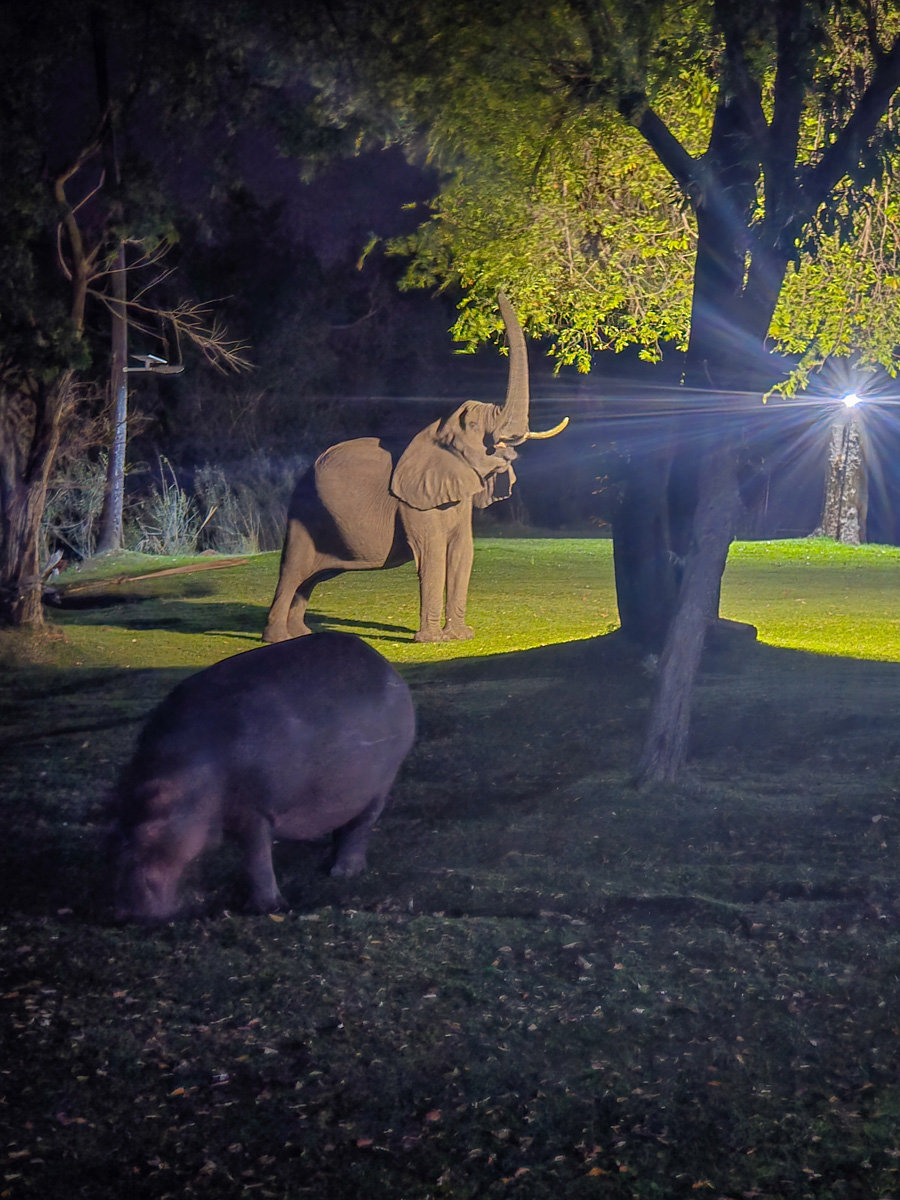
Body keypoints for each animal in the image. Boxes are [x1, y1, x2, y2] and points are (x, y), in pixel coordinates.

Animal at [113, 631, 415, 920]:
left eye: (148, 835)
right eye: (114, 829)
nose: (123, 913)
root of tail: (385, 665)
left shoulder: (252, 811)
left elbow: (255, 858)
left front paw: (264, 907)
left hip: (382, 784)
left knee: (360, 827)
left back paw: (344, 873)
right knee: (345, 824)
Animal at [262, 293, 568, 644]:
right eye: (475, 426)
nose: (500, 291)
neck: (437, 430)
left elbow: (463, 552)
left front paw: (463, 636)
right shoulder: (412, 501)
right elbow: (432, 554)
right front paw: (434, 641)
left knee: (311, 577)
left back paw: (300, 635)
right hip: (303, 513)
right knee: (293, 570)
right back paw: (277, 639)